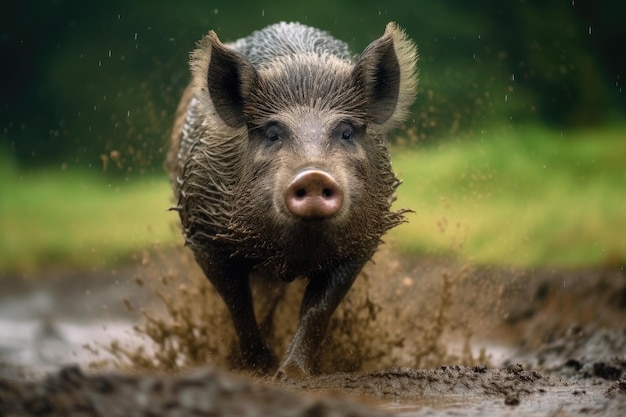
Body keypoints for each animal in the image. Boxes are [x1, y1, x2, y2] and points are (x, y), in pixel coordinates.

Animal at [168, 20, 416, 376]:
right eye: (273, 134)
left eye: (346, 132)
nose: (313, 175)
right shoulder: (203, 234)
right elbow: (238, 304)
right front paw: (261, 370)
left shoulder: (362, 240)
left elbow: (317, 309)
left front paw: (290, 374)